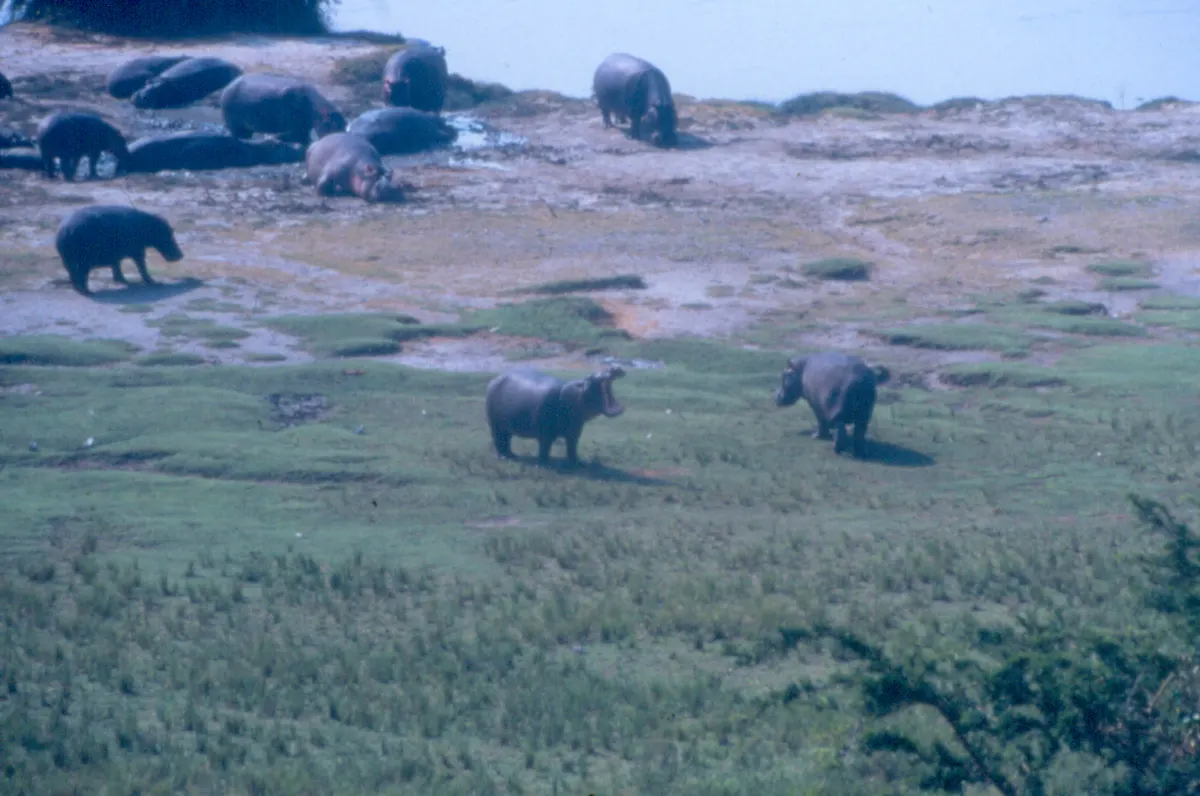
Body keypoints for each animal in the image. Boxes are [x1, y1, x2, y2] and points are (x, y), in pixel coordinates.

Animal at [55, 205, 184, 295]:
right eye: (168, 234)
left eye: (171, 231)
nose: (181, 254)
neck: (149, 226)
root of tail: (65, 230)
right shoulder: (138, 251)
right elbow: (142, 266)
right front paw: (154, 282)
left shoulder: (116, 255)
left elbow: (117, 266)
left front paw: (122, 280)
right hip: (83, 261)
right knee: (81, 275)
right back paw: (88, 292)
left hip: (67, 260)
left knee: (73, 274)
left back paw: (80, 289)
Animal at [486, 366, 626, 466]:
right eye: (590, 376)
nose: (613, 368)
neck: (577, 393)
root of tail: (494, 380)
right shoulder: (545, 432)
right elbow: (545, 447)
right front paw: (545, 463)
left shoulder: (574, 431)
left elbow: (572, 447)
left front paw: (578, 463)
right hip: (496, 425)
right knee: (498, 440)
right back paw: (504, 457)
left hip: (506, 426)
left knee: (507, 440)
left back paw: (512, 455)